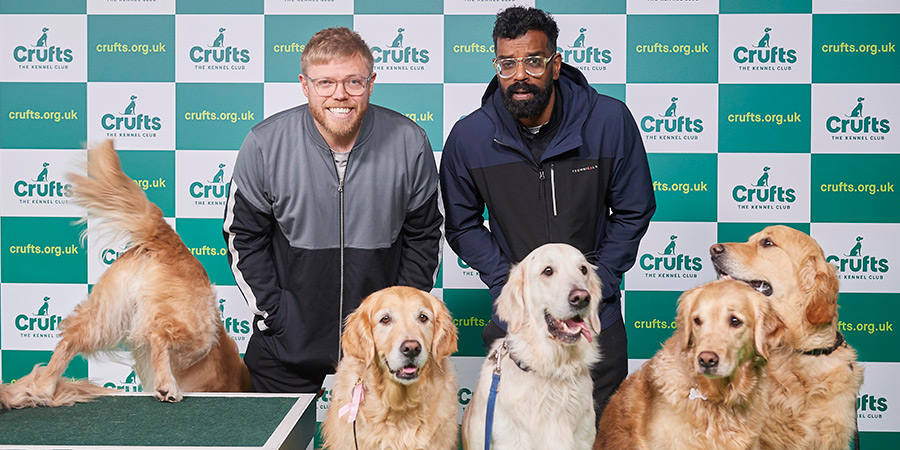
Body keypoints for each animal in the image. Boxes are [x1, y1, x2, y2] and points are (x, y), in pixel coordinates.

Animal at [0, 141, 250, 412]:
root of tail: (169, 241)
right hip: (200, 333)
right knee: (159, 335)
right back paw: (167, 386)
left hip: (107, 315)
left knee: (71, 338)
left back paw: (44, 389)